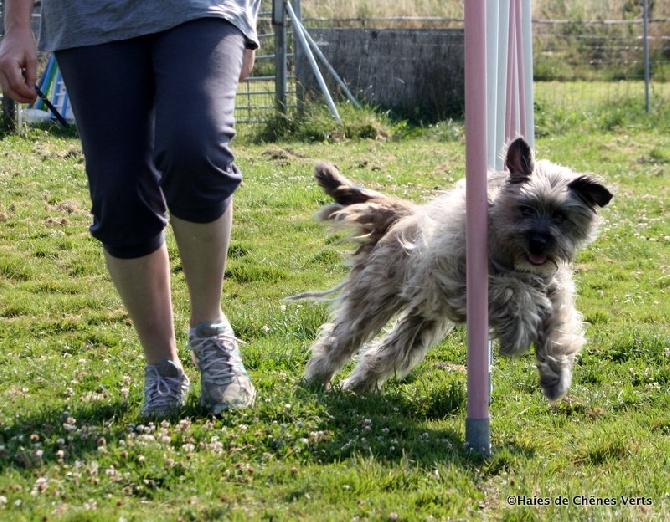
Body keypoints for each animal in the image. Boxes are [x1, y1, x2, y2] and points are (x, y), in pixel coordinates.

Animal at [294, 138, 616, 398]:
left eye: (561, 216)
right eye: (525, 209)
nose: (539, 243)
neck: (511, 257)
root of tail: (406, 215)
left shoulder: (555, 296)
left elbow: (559, 331)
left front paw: (555, 377)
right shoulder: (456, 280)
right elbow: (511, 290)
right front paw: (518, 331)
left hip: (422, 320)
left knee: (389, 351)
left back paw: (358, 385)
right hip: (376, 297)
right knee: (341, 338)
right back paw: (318, 378)